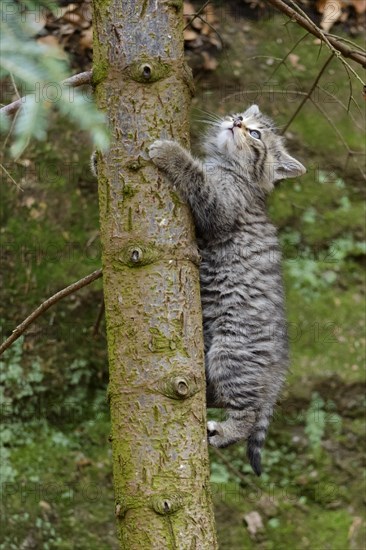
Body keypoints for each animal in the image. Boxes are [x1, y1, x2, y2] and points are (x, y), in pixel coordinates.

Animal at [149, 105, 306, 476]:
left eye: (256, 134)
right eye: (242, 117)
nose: (237, 123)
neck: (230, 169)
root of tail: (279, 364)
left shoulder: (221, 208)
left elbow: (196, 178)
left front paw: (170, 152)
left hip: (231, 353)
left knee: (247, 414)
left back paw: (224, 432)